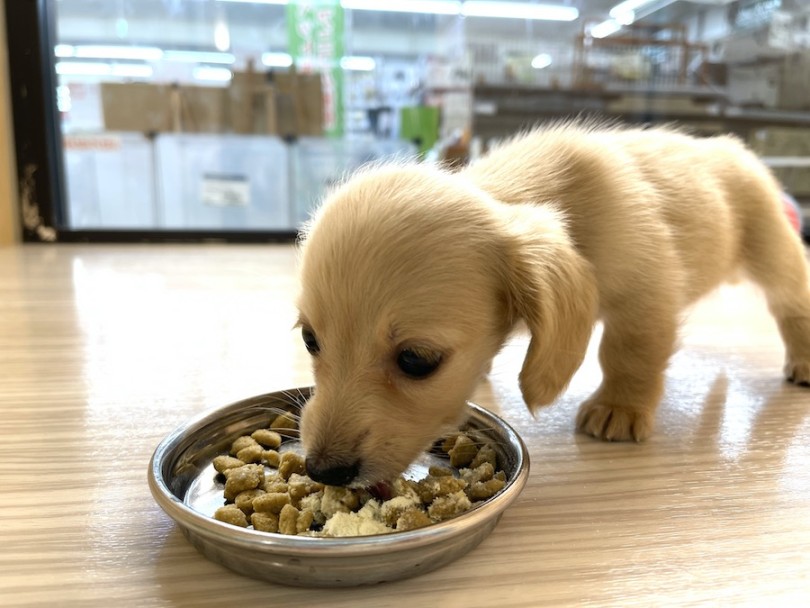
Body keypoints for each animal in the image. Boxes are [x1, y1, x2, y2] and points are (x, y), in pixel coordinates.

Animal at [296, 121, 808, 486]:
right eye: (309, 339)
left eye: (417, 360)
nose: (323, 471)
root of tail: (728, 146)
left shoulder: (646, 293)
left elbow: (630, 353)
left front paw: (619, 406)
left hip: (773, 250)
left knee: (792, 301)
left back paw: (802, 360)